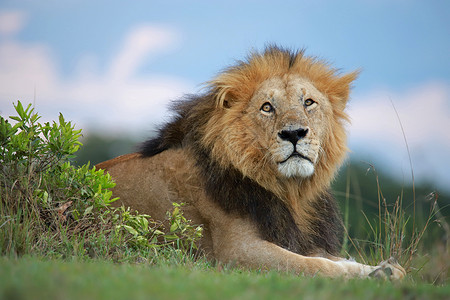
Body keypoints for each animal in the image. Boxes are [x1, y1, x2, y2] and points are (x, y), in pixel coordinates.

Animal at [96, 46, 406, 278]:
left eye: (308, 102)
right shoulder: (236, 252)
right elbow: (313, 265)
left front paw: (384, 269)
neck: (290, 192)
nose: (294, 133)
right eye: (267, 107)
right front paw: (373, 274)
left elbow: (332, 259)